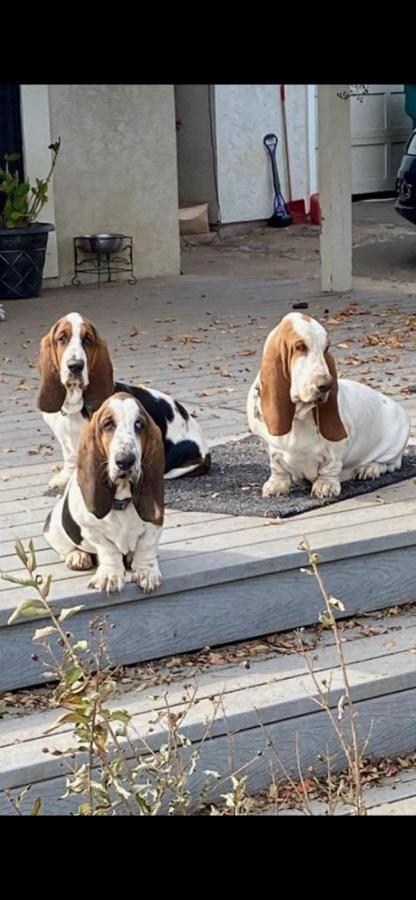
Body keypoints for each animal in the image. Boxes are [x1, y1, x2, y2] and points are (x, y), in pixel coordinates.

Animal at [247, 312, 410, 500]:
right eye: (300, 347)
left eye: (326, 349)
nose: (326, 385)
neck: (298, 416)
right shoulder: (269, 447)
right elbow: (277, 466)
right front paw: (276, 484)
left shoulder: (336, 448)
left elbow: (330, 467)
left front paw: (325, 485)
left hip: (393, 446)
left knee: (389, 464)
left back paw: (369, 469)